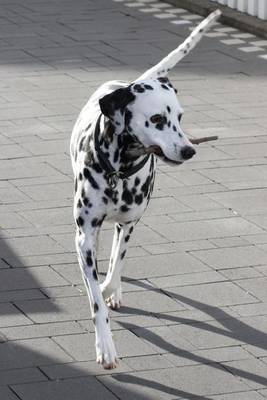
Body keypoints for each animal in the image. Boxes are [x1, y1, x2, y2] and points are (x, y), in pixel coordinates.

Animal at [70, 10, 222, 368]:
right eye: (156, 119)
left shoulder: (129, 224)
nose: (189, 150)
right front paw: (105, 346)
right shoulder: (84, 235)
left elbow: (113, 271)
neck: (119, 171)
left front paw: (110, 289)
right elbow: (95, 296)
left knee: (115, 258)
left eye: (180, 117)